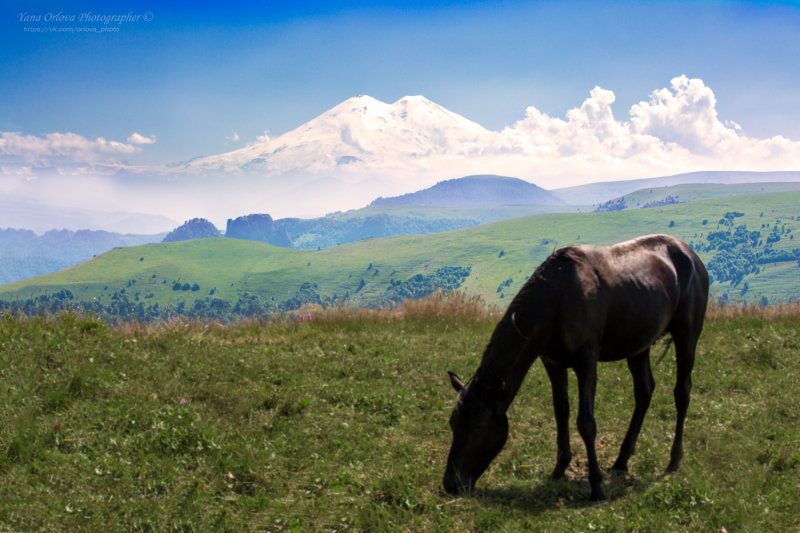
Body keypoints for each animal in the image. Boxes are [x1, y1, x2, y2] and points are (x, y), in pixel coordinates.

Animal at [440, 233, 708, 498]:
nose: (452, 484)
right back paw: (621, 461)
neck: (557, 300)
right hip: (638, 345)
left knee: (682, 391)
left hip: (687, 336)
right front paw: (559, 468)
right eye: (453, 423)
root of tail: (690, 255)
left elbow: (586, 422)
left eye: (478, 426)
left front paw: (596, 486)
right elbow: (561, 411)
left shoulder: (586, 362)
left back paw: (674, 460)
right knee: (644, 391)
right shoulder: (553, 363)